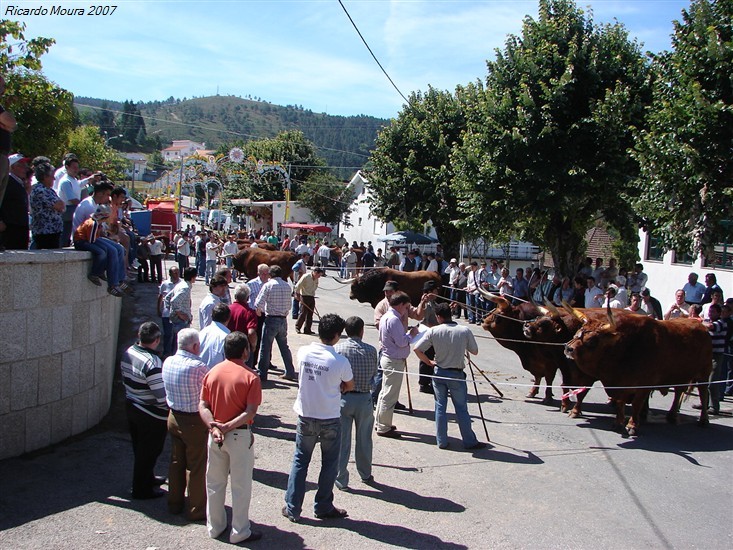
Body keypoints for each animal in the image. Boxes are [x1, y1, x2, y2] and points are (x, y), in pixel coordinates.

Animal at [564, 308, 712, 438]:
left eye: (592, 340)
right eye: (577, 332)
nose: (568, 348)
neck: (625, 348)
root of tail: (701, 326)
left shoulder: (644, 385)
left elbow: (636, 404)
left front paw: (632, 426)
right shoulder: (620, 384)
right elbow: (619, 402)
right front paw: (618, 423)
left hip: (704, 373)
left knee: (703, 393)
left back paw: (703, 420)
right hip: (680, 375)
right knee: (679, 392)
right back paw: (672, 415)